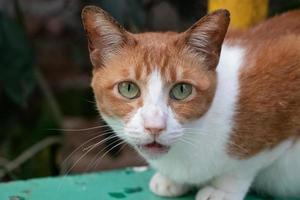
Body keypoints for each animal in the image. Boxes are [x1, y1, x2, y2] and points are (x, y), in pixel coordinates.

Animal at [81, 6, 300, 200]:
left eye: (182, 90)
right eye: (128, 88)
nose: (154, 127)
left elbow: (242, 167)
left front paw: (222, 190)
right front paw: (171, 181)